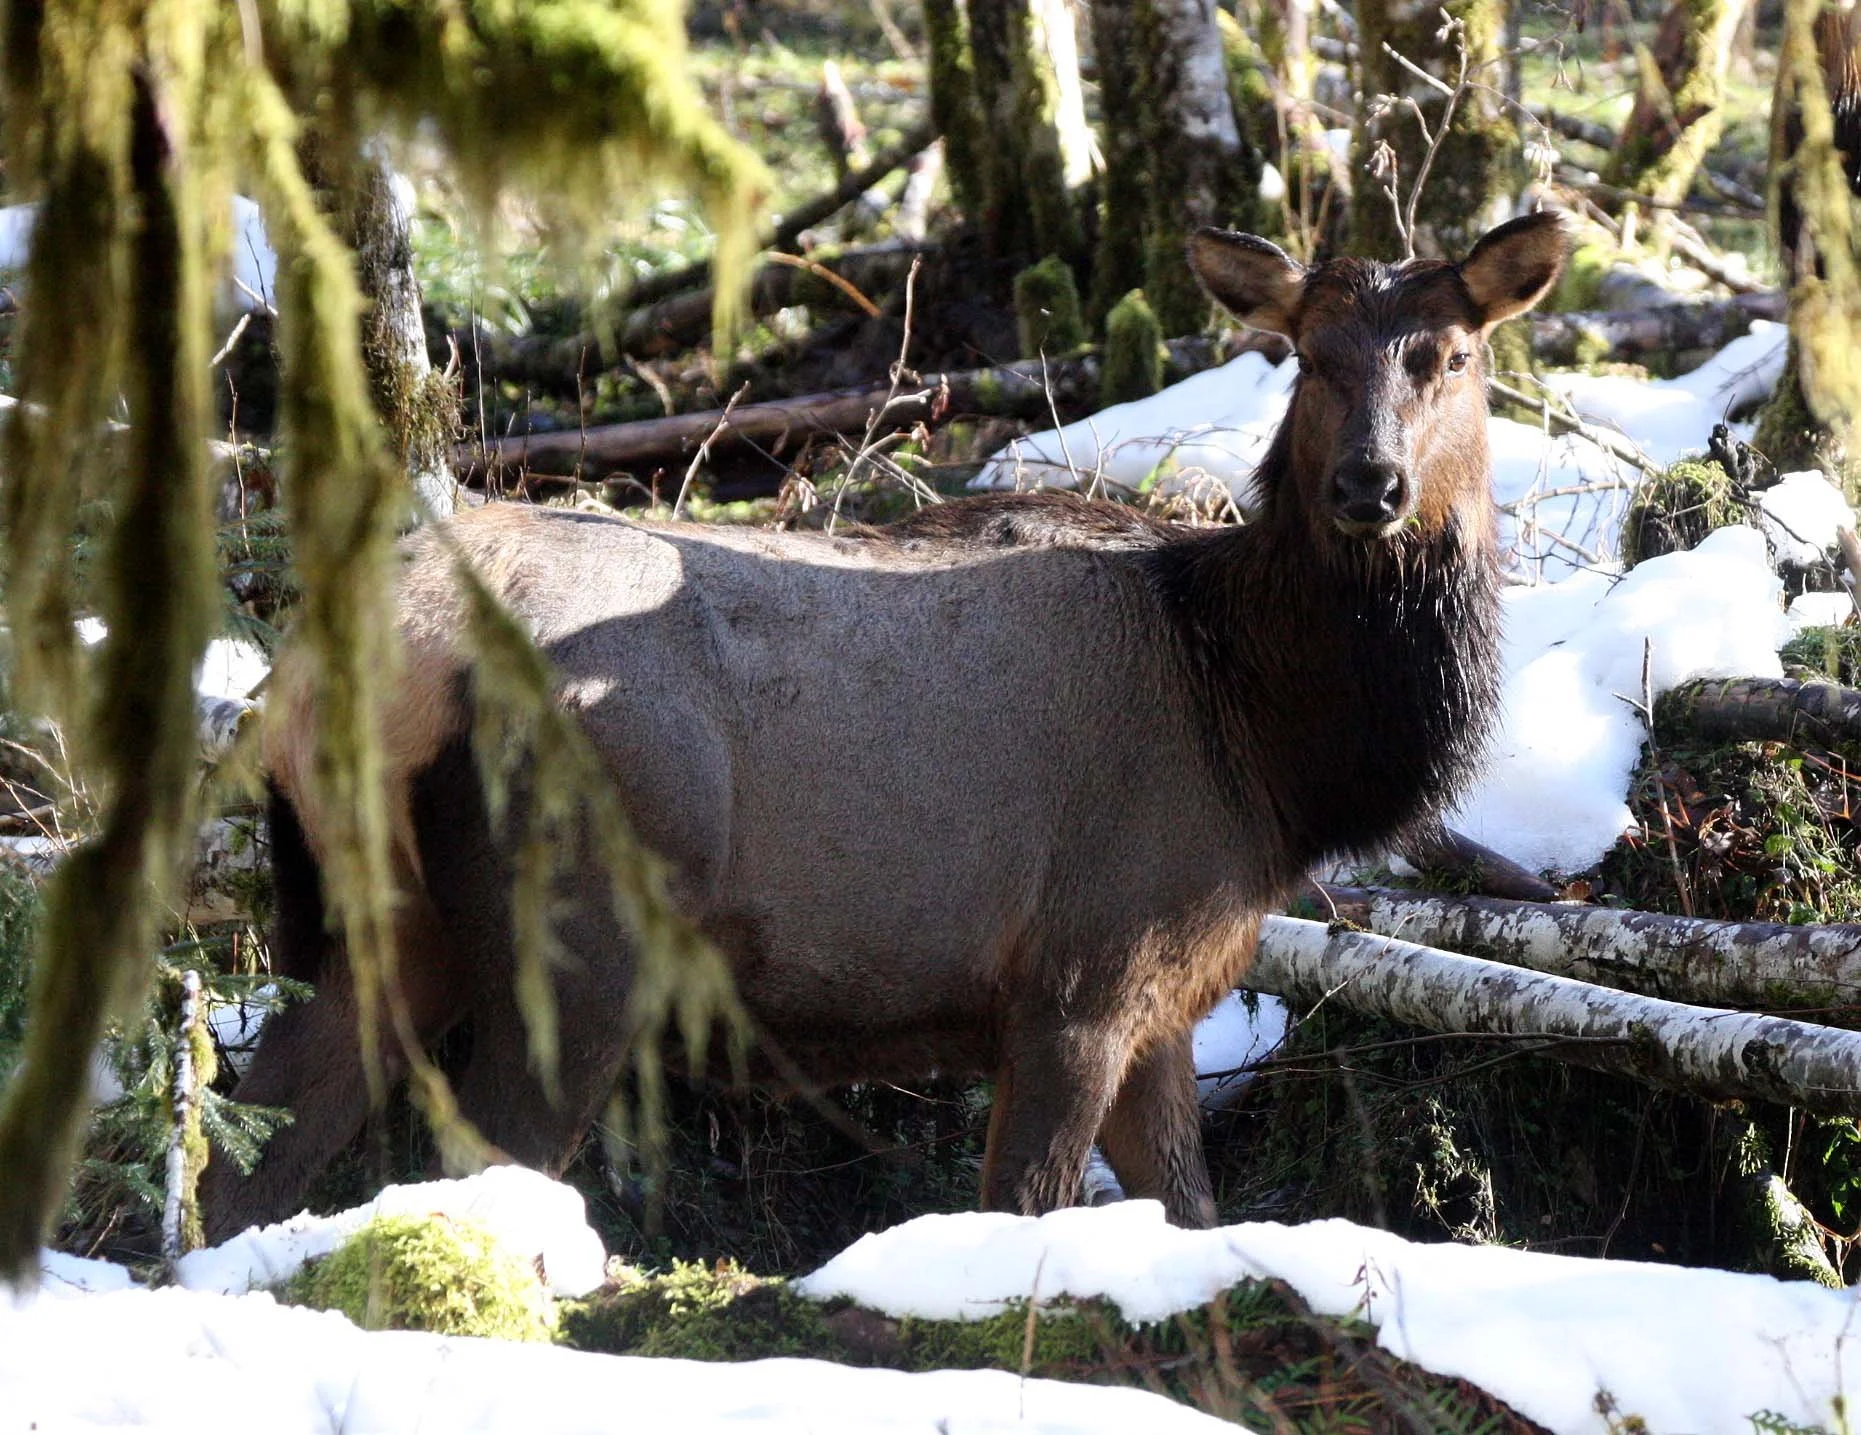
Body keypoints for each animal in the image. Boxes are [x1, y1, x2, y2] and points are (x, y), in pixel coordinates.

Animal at [202, 212, 1569, 1243]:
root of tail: (330, 666)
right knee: (473, 1168)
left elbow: (1191, 1212)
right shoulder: (1082, 970)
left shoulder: (1165, 995)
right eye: (1307, 355)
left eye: (1450, 354)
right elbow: (1025, 1211)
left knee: (248, 1157)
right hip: (579, 932)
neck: (1269, 752)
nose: (1369, 486)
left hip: (383, 924)